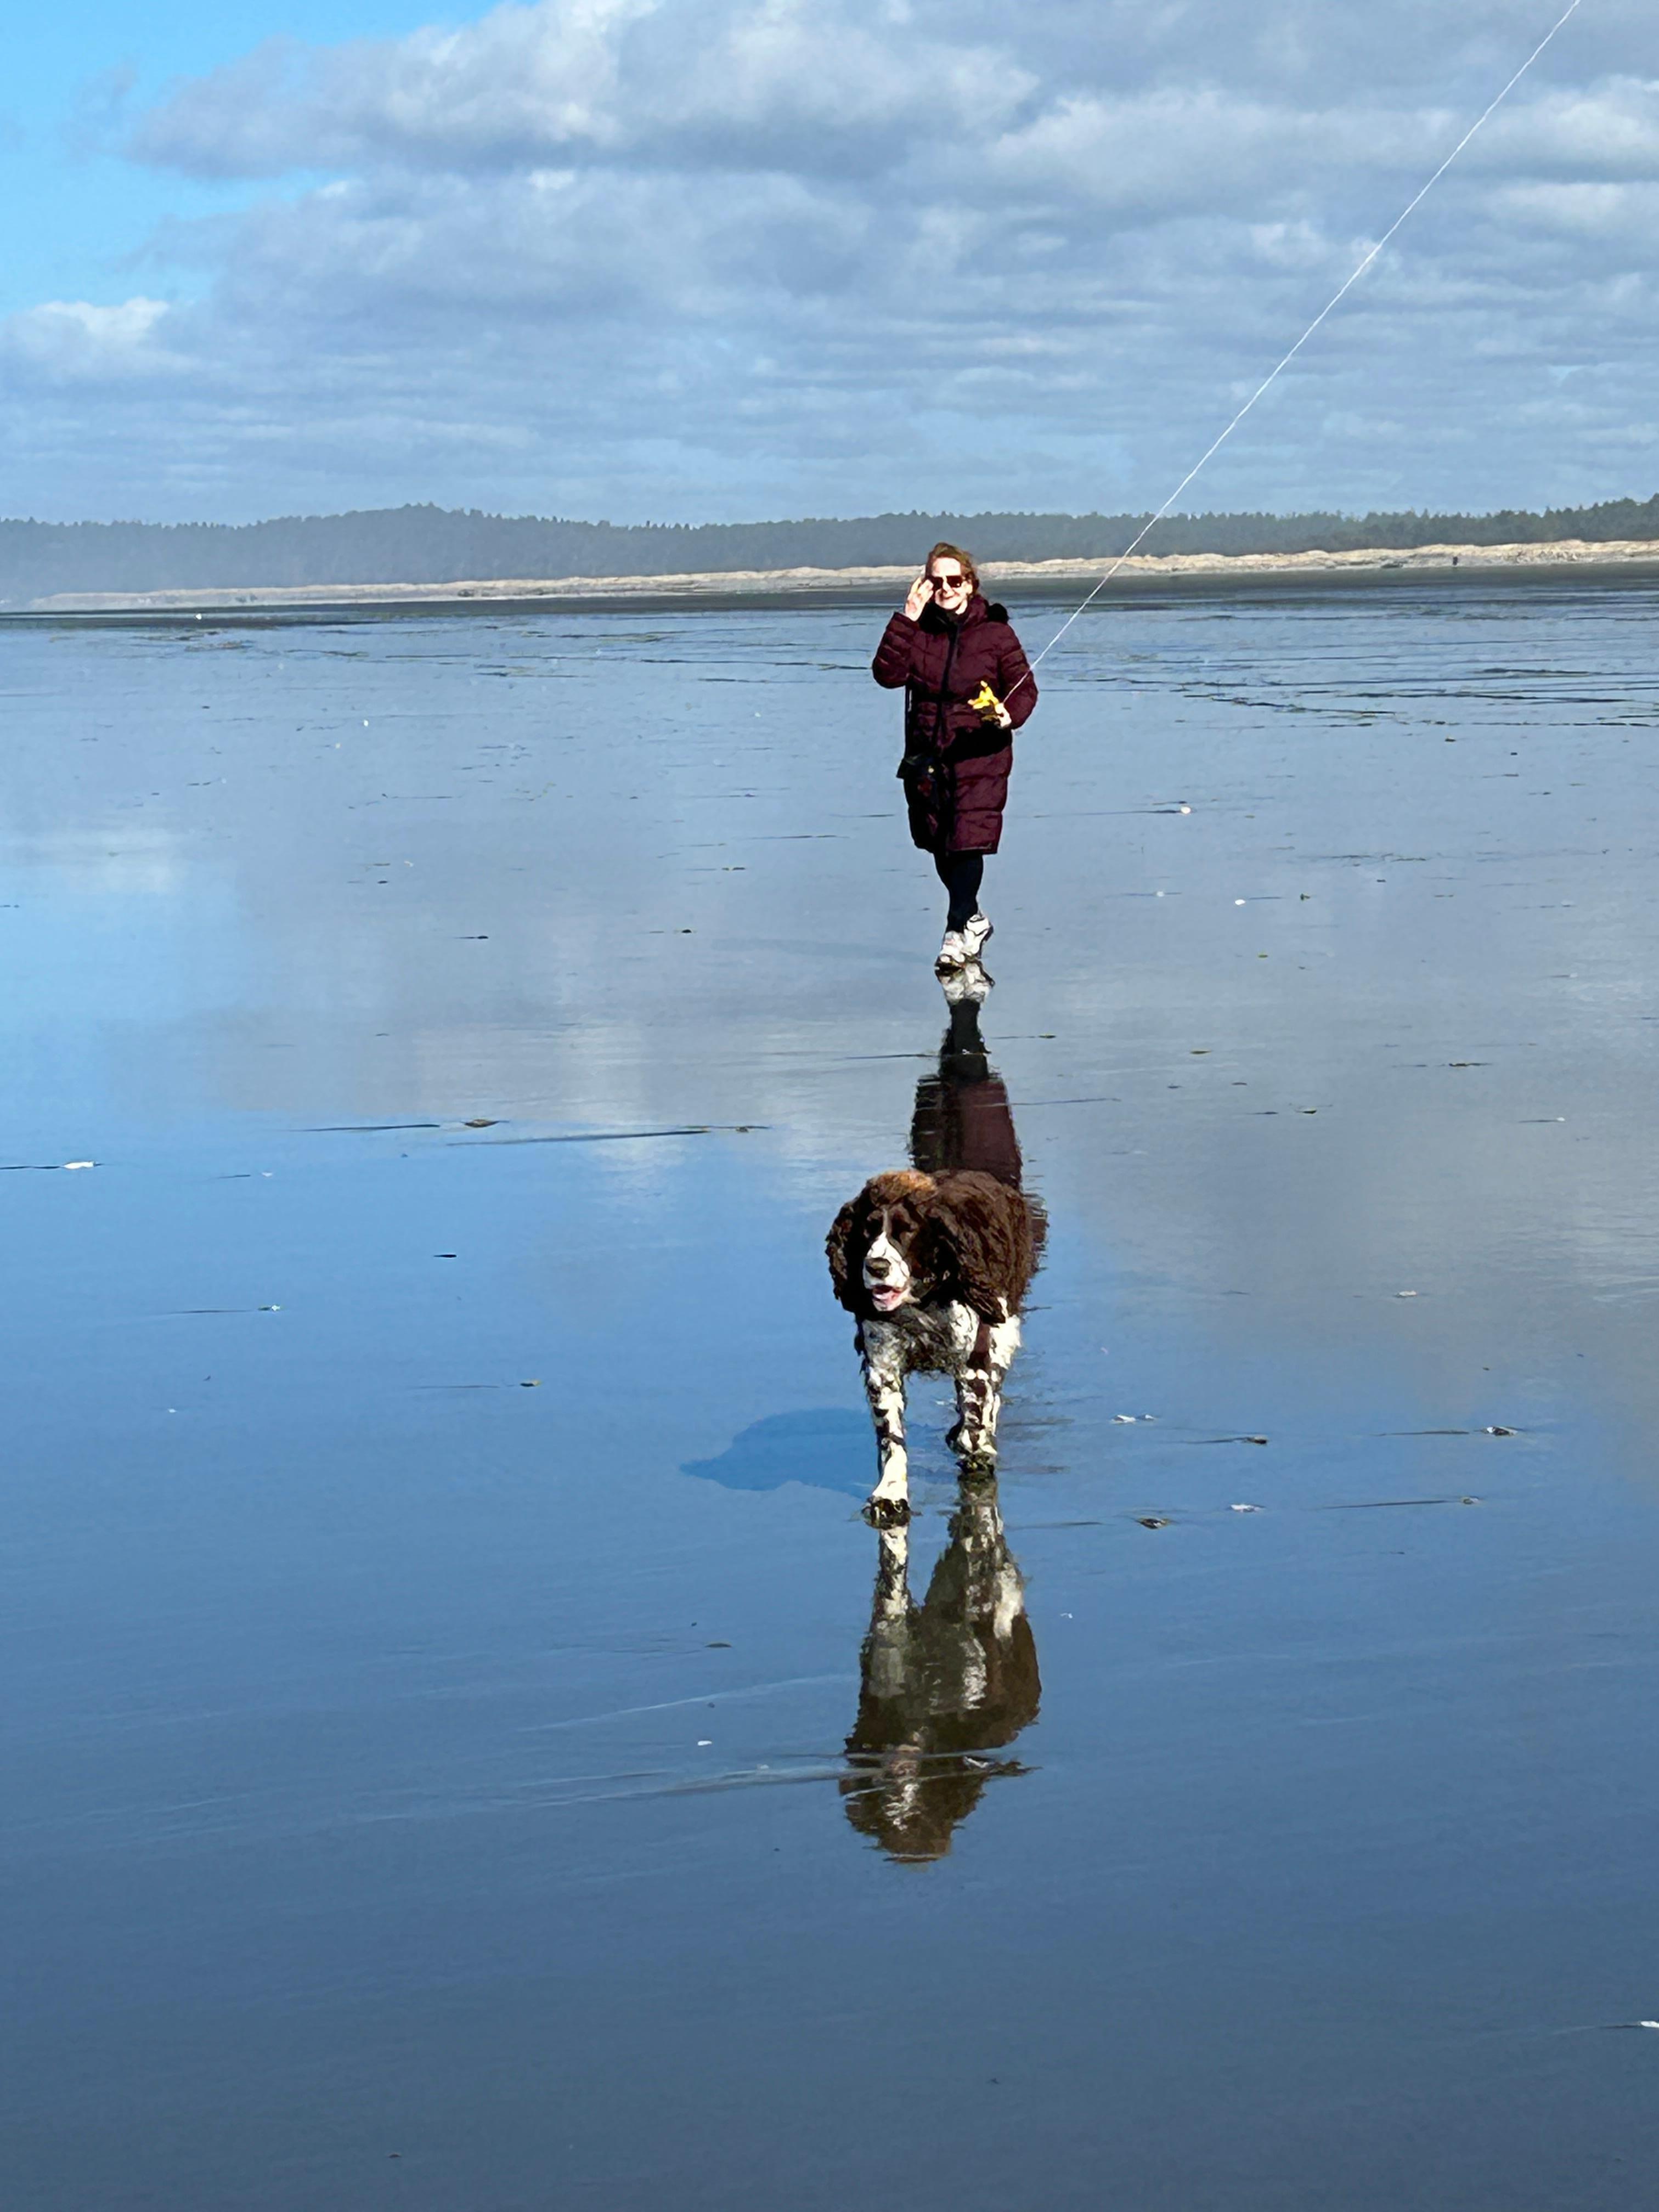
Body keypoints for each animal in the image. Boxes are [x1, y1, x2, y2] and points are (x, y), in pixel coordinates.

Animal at [827, 1177, 1044, 1522]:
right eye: (867, 1230)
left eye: (907, 1231)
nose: (876, 1266)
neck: (923, 1301)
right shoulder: (883, 1368)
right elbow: (892, 1438)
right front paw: (890, 1492)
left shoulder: (975, 1357)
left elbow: (976, 1416)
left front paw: (976, 1449)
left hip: (1004, 1330)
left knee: (993, 1393)